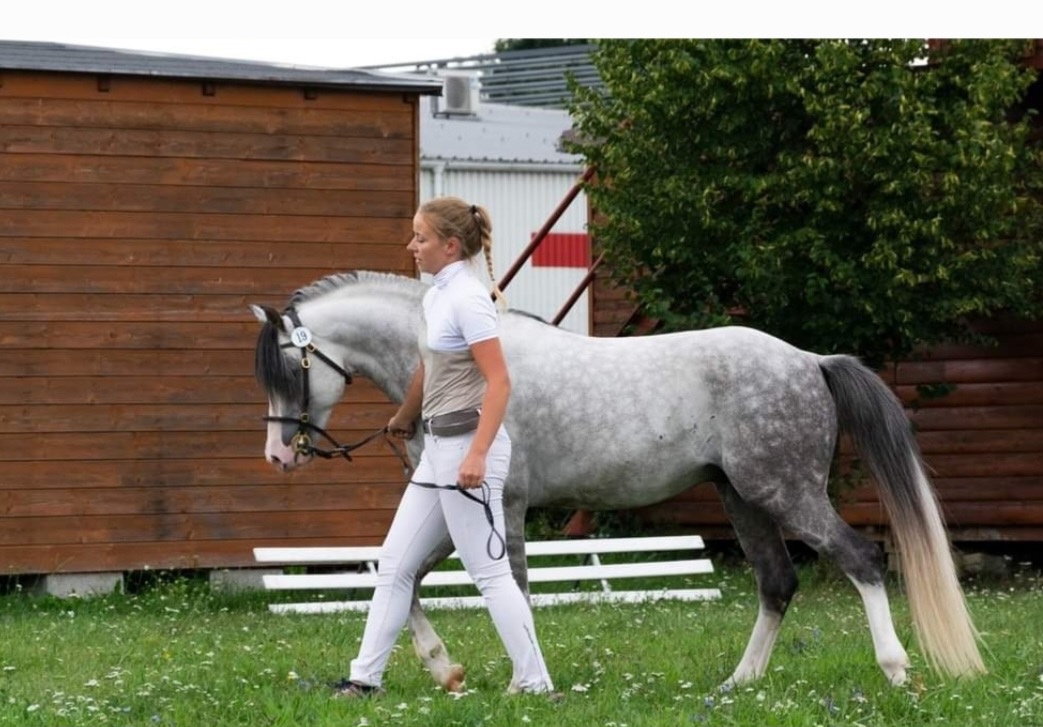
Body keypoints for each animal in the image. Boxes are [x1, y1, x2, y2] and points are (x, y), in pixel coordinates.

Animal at [250, 269, 985, 690]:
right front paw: (443, 668)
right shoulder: (450, 512)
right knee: (778, 583)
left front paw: (523, 681)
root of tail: (809, 360)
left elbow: (510, 590)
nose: (279, 455)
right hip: (742, 499)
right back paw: (738, 683)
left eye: (289, 368)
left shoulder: (502, 508)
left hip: (786, 493)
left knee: (860, 559)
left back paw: (894, 669)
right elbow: (401, 580)